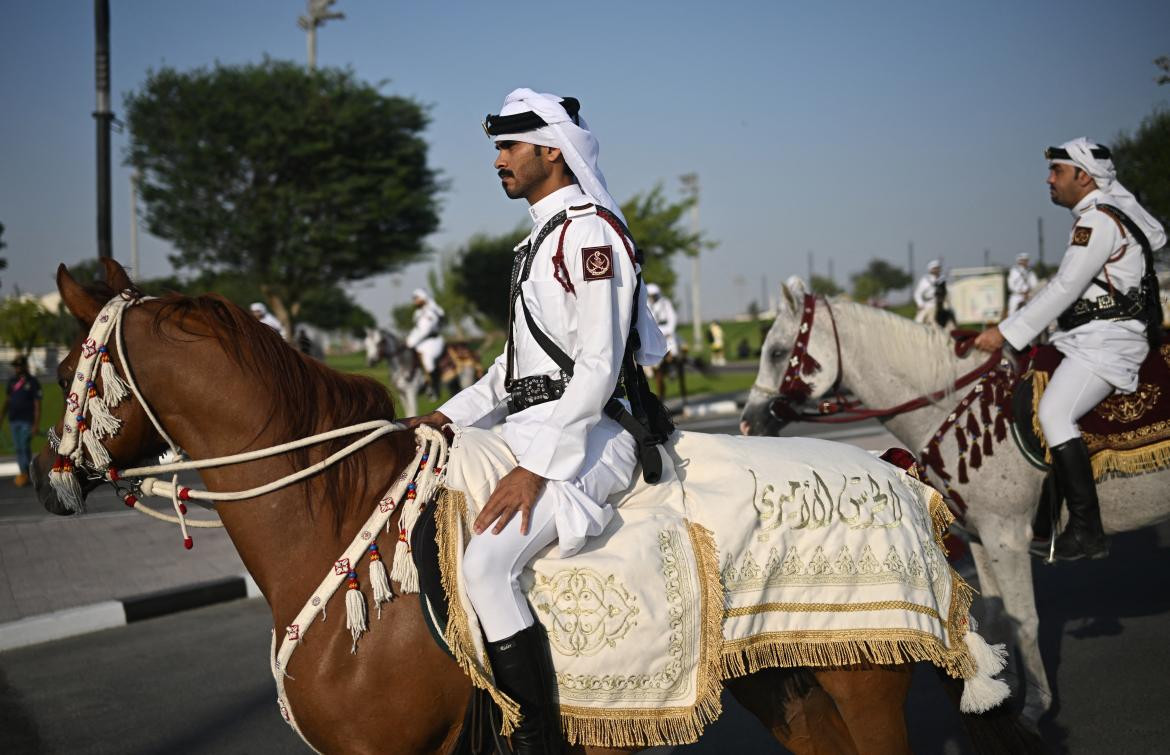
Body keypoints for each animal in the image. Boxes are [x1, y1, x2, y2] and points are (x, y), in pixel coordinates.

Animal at [32, 261, 1038, 753]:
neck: (338, 527)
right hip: (794, 687)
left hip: (862, 689)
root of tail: (901, 475)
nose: (44, 475)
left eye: (69, 360)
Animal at [739, 283, 1170, 725]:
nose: (747, 422)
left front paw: (1034, 705)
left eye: (777, 352)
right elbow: (996, 614)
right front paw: (1000, 687)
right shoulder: (981, 538)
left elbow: (1024, 619)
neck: (952, 405)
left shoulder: (1006, 537)